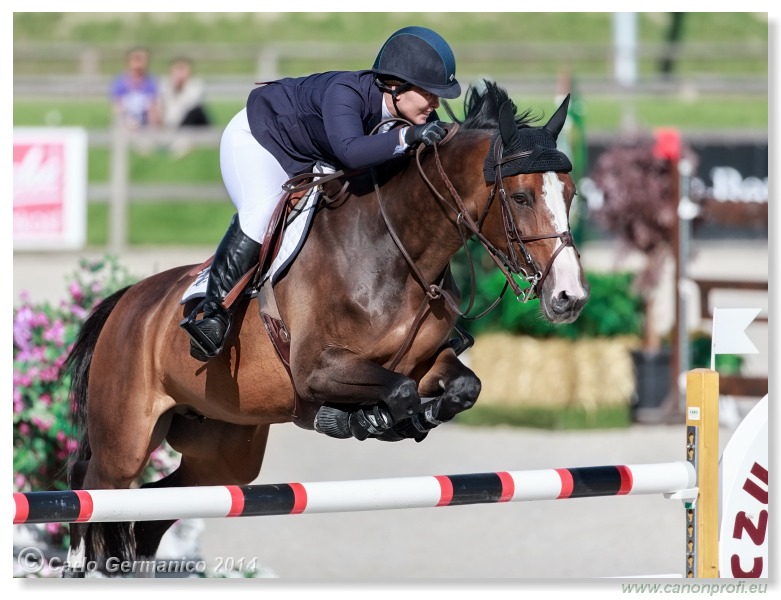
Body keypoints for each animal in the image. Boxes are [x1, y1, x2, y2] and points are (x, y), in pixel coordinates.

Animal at [62, 79, 584, 572]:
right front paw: (364, 419)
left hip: (222, 452)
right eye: (520, 196)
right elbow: (397, 392)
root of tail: (129, 300)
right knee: (89, 489)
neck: (396, 250)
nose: (569, 297)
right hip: (125, 443)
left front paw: (403, 418)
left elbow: (462, 388)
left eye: (571, 194)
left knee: (154, 511)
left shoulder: (425, 363)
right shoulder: (317, 370)